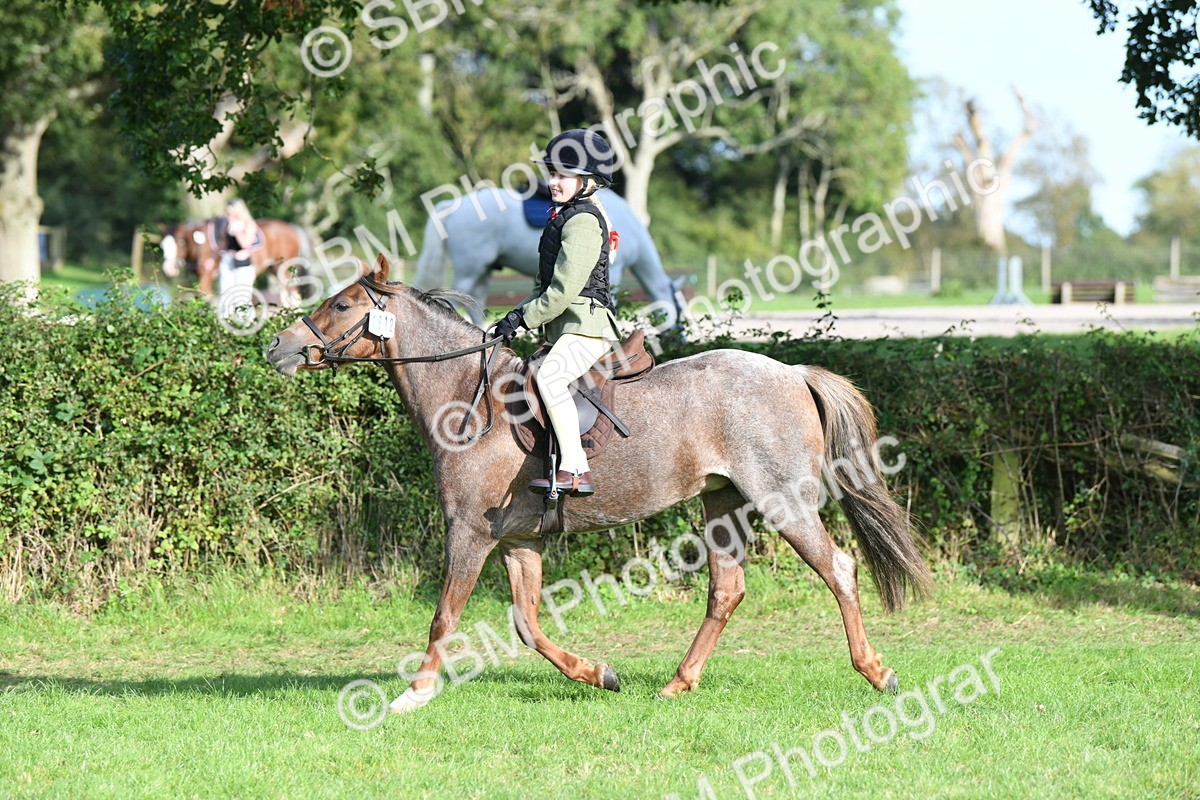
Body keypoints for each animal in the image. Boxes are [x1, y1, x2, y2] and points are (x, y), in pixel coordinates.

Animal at [161, 218, 314, 306]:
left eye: (180, 242)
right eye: (163, 246)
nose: (168, 269)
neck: (201, 243)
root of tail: (291, 227)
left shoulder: (206, 276)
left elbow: (206, 297)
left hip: (284, 268)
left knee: (293, 293)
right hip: (274, 269)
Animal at [265, 255, 932, 714]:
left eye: (343, 306)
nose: (279, 346)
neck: (468, 400)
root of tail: (792, 372)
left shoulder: (470, 533)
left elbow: (445, 615)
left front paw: (415, 692)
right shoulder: (519, 542)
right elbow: (526, 624)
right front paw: (597, 673)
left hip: (784, 502)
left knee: (838, 570)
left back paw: (876, 671)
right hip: (722, 503)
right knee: (726, 591)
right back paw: (676, 684)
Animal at [414, 187, 684, 327]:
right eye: (680, 314)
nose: (681, 335)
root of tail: (454, 206)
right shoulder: (615, 273)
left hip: (483, 270)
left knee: (476, 302)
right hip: (470, 270)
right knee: (458, 297)